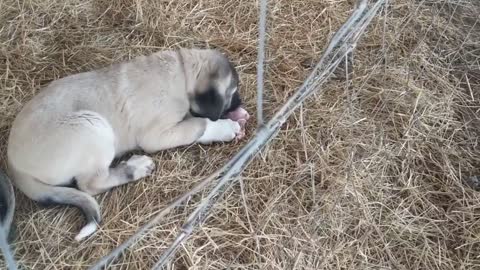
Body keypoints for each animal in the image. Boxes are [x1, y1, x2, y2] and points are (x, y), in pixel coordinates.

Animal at [5, 48, 249, 240]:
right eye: (233, 92)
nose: (241, 102)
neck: (182, 72)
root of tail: (14, 168)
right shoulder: (156, 135)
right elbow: (200, 124)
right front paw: (225, 127)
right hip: (92, 126)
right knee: (91, 184)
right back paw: (136, 167)